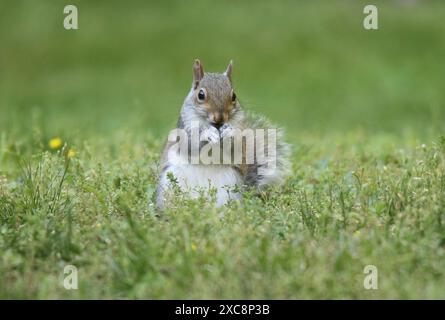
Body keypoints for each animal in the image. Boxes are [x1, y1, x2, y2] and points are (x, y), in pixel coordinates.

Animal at [154, 59, 290, 210]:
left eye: (234, 96)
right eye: (200, 95)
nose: (219, 118)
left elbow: (236, 148)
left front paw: (229, 132)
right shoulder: (183, 129)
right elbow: (190, 145)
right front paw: (207, 134)